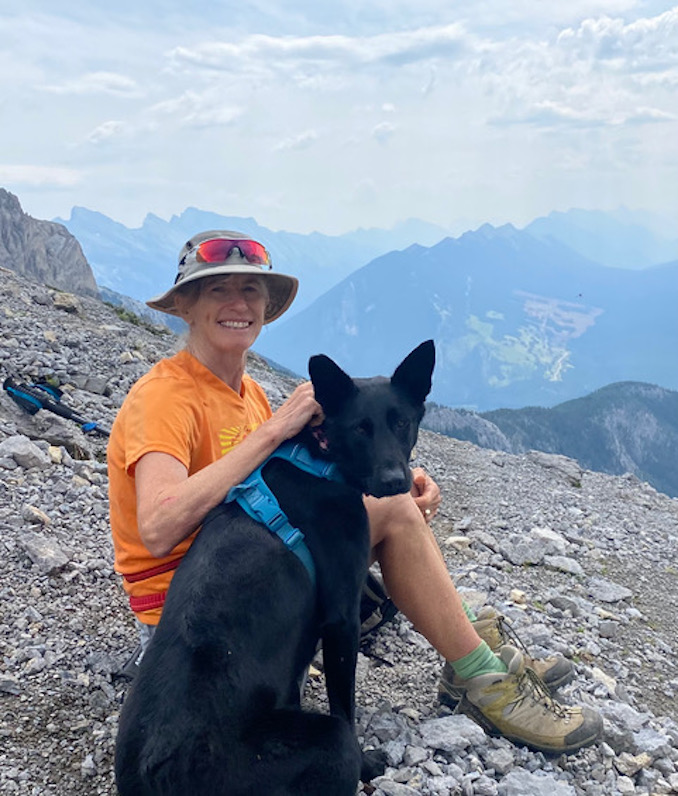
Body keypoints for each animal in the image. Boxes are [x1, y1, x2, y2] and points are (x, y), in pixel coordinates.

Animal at [115, 338, 438, 792]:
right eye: (360, 428)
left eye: (402, 423)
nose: (395, 482)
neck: (319, 458)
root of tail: (155, 777)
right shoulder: (341, 617)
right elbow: (344, 703)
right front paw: (369, 763)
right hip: (319, 744)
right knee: (339, 735)